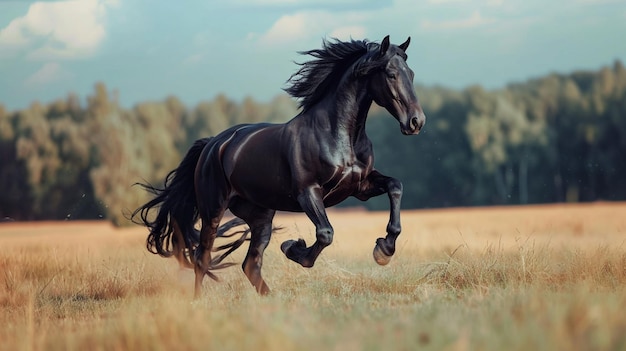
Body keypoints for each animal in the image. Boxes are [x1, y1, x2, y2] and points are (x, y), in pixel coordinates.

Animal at [132, 36, 424, 296]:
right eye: (390, 74)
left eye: (410, 73)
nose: (416, 122)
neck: (338, 135)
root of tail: (212, 144)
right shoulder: (308, 192)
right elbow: (325, 233)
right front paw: (293, 247)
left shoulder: (360, 187)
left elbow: (395, 186)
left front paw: (384, 250)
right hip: (213, 210)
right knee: (202, 259)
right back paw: (198, 303)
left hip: (260, 216)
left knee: (250, 264)